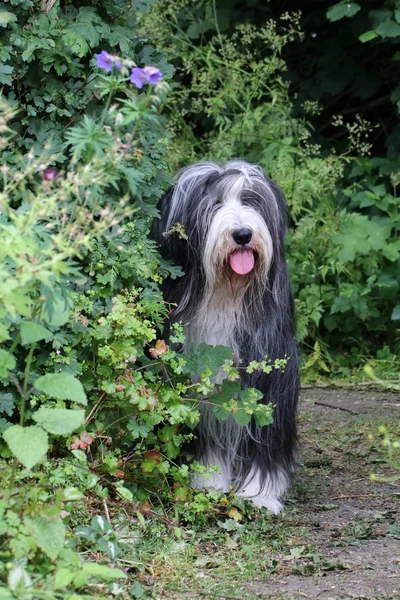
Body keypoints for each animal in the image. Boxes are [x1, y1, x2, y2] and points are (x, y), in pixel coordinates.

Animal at [152, 159, 298, 510]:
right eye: (213, 204)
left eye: (251, 200)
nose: (243, 234)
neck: (226, 297)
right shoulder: (196, 385)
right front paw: (208, 483)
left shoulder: (271, 376)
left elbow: (266, 438)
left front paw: (260, 495)